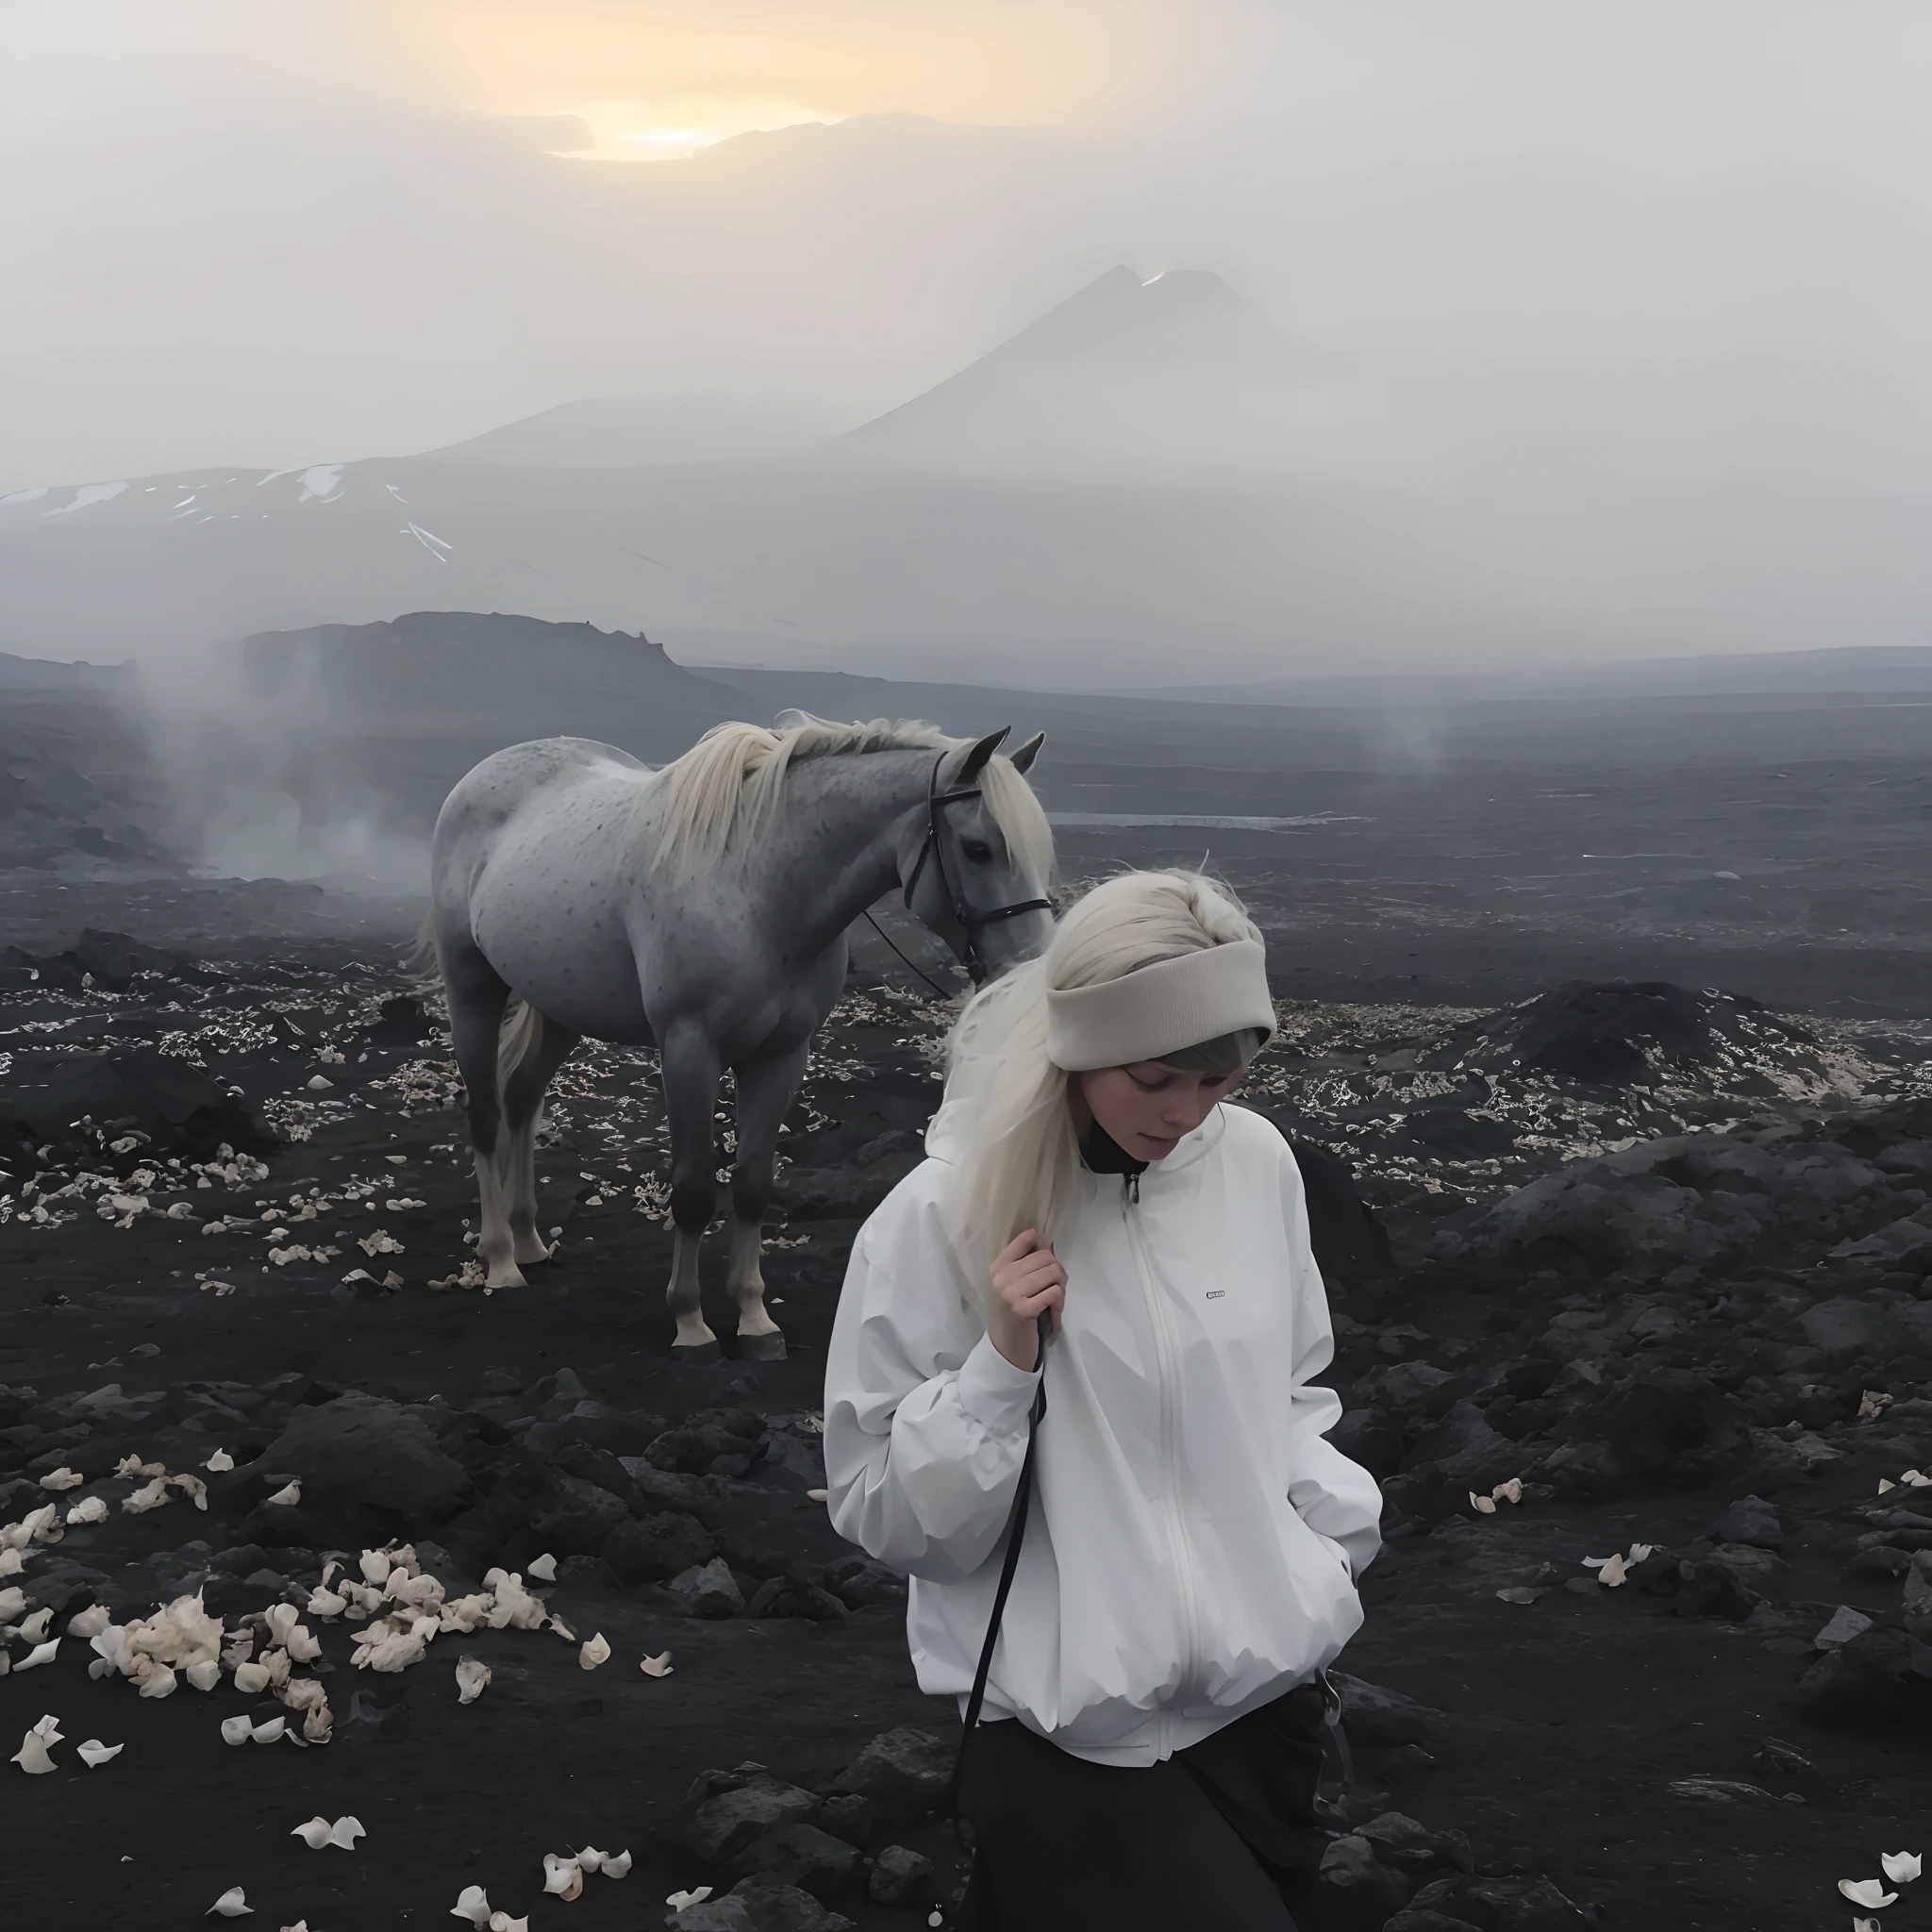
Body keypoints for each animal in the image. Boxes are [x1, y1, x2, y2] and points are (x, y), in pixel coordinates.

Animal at [421, 718, 1058, 1367]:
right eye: (978, 848)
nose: (1031, 967)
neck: (760, 887)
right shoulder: (688, 1051)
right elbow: (695, 1192)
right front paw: (691, 1324)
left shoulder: (782, 1057)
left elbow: (752, 1187)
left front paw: (754, 1321)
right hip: (472, 990)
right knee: (485, 1114)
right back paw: (501, 1258)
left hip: (559, 1007)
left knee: (523, 1100)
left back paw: (528, 1240)